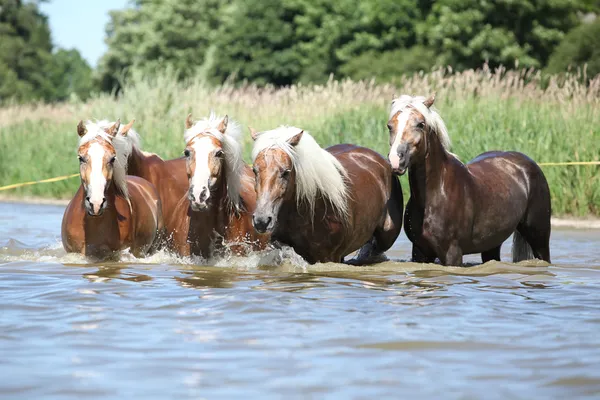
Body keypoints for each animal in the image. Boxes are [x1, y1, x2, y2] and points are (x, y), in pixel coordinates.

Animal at [386, 95, 552, 268]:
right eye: (390, 126)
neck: (436, 193)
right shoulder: (420, 251)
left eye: (420, 124)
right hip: (492, 243)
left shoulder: (452, 253)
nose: (396, 160)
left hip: (539, 238)